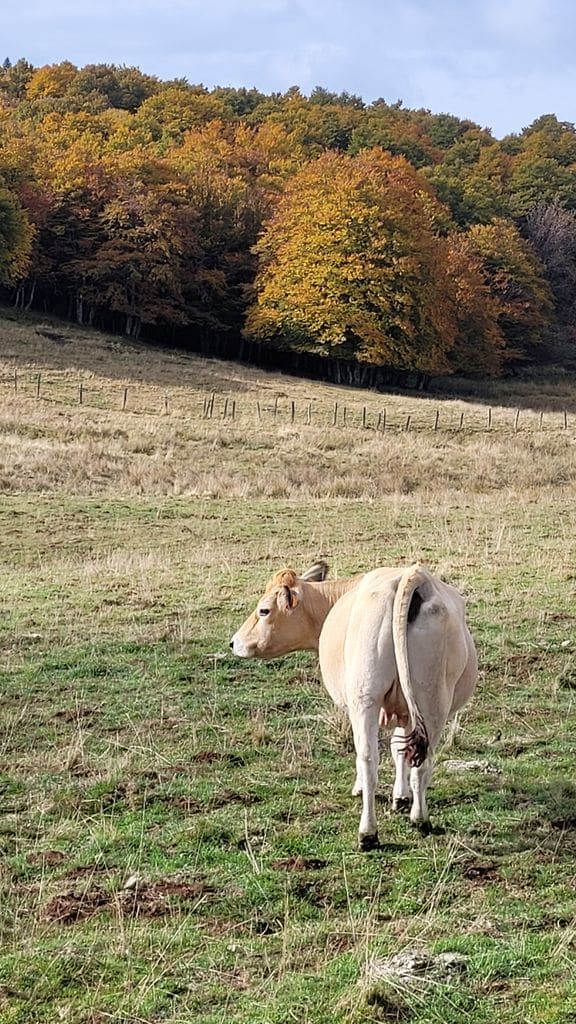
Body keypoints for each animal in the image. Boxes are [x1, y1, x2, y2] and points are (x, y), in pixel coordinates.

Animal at [228, 561, 475, 847]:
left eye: (264, 610)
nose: (233, 642)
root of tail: (409, 575)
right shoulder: (407, 713)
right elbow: (399, 748)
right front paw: (401, 797)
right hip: (432, 699)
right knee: (422, 760)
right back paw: (419, 819)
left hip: (364, 697)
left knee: (367, 758)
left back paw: (367, 833)